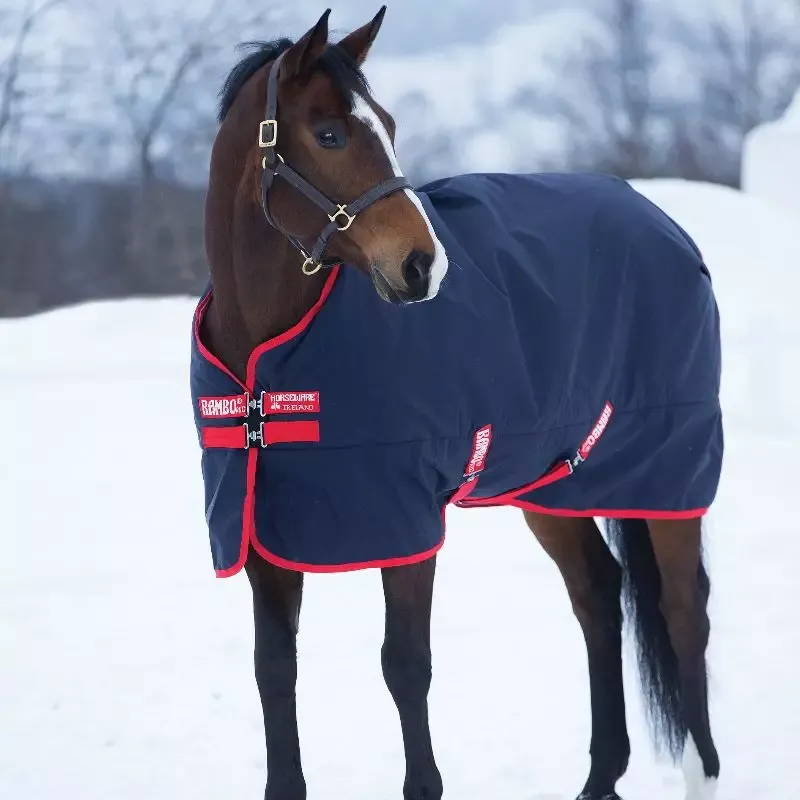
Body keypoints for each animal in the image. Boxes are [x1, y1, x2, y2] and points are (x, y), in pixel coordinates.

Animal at [191, 7, 722, 799]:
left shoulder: (408, 523)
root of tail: (664, 225)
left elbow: (405, 667)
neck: (268, 352)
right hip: (553, 485)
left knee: (684, 611)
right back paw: (600, 775)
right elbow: (274, 672)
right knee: (599, 596)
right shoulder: (263, 533)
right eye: (329, 134)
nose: (423, 265)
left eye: (387, 124)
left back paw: (702, 772)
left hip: (668, 477)